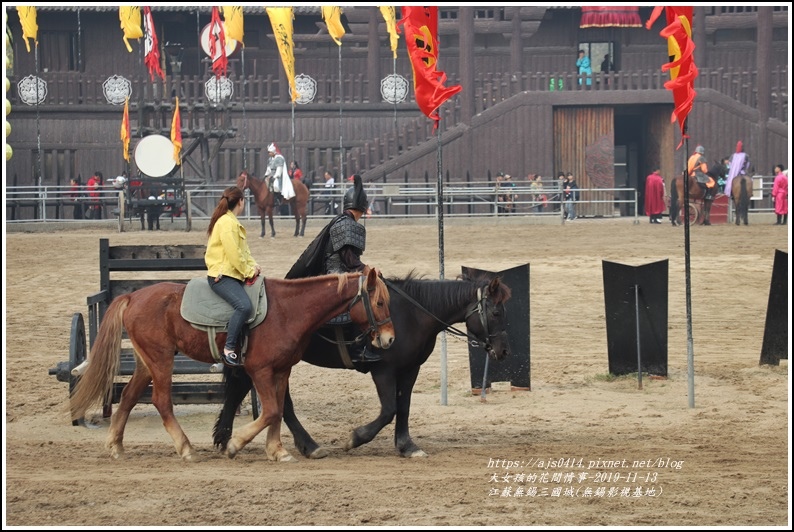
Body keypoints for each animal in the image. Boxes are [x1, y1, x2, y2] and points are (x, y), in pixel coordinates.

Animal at [69, 270, 392, 462]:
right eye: (379, 303)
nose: (389, 339)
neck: (287, 310)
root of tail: (132, 295)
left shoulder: (281, 371)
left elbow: (277, 412)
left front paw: (276, 450)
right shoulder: (259, 371)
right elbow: (271, 411)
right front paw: (236, 443)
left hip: (146, 363)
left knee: (127, 398)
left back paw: (116, 446)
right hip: (161, 361)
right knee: (161, 401)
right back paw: (185, 448)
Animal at [210, 272, 510, 460]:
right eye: (496, 312)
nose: (502, 350)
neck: (412, 314)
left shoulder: (409, 370)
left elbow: (403, 408)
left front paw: (407, 446)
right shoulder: (384, 371)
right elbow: (388, 410)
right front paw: (356, 437)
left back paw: (227, 438)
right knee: (280, 404)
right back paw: (307, 445)